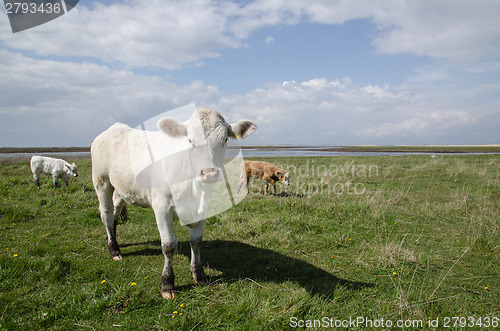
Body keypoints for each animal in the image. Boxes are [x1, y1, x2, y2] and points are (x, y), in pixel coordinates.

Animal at [92, 107, 258, 300]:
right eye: (190, 140)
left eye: (224, 139)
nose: (209, 173)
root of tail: (114, 128)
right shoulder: (161, 208)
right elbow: (169, 245)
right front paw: (167, 283)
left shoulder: (202, 209)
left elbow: (196, 242)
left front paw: (199, 274)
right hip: (101, 181)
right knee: (106, 213)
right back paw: (114, 250)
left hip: (121, 188)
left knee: (115, 213)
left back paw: (111, 239)